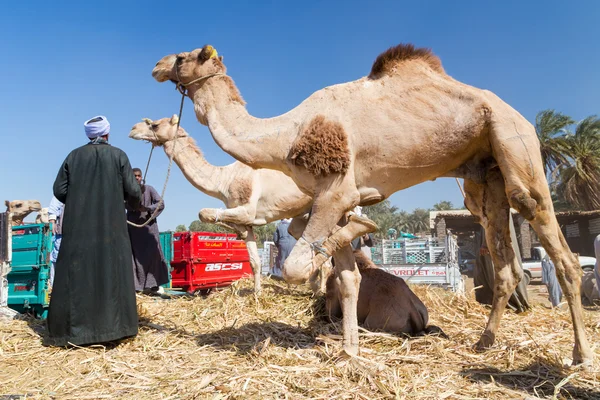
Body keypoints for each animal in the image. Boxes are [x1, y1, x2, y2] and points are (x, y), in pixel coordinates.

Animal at [129, 115, 378, 294]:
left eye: (154, 124)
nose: (132, 129)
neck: (224, 179)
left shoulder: (246, 207)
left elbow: (205, 213)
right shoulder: (245, 219)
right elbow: (254, 260)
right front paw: (257, 293)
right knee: (303, 234)